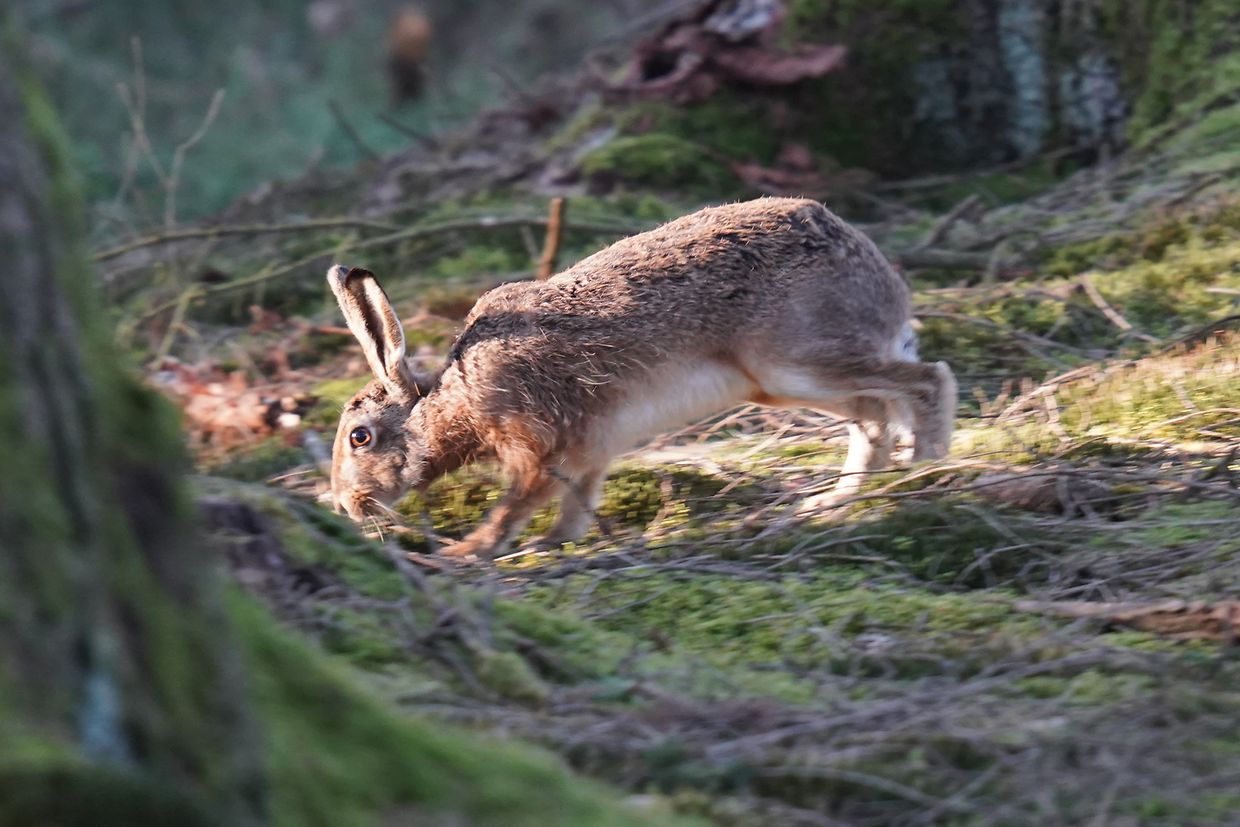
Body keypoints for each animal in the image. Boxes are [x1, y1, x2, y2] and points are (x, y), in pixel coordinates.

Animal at [327, 197, 956, 559]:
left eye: (361, 436)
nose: (347, 507)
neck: (455, 397)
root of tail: (882, 280)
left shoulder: (540, 443)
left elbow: (516, 504)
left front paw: (463, 556)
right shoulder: (590, 451)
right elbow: (577, 507)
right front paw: (555, 547)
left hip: (798, 362)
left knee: (928, 380)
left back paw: (921, 476)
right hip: (786, 384)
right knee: (875, 417)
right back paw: (835, 502)